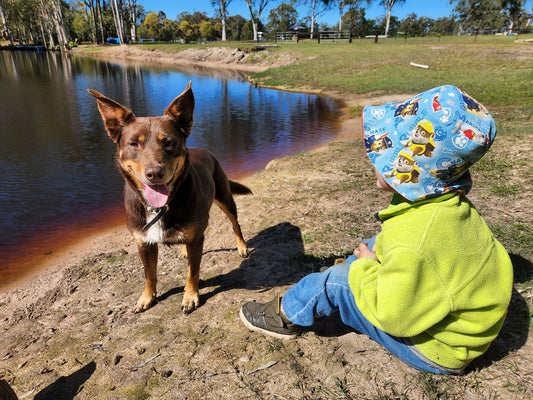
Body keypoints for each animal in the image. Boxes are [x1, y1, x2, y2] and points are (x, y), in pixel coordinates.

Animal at [89, 82, 251, 312]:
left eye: (169, 142)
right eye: (133, 144)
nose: (154, 173)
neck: (158, 208)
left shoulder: (196, 239)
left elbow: (193, 272)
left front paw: (190, 297)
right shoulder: (144, 243)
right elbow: (149, 274)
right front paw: (147, 297)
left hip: (225, 198)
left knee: (235, 223)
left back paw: (242, 246)